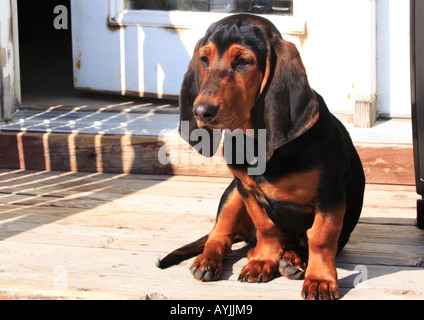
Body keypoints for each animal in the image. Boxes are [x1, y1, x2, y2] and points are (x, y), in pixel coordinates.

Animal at [158, 14, 364, 300]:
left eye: (243, 62)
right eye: (204, 60)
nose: (201, 111)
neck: (257, 143)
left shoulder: (329, 195)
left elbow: (321, 238)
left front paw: (320, 280)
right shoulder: (246, 189)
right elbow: (266, 226)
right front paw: (263, 261)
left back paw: (293, 260)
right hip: (231, 193)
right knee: (219, 235)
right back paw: (212, 261)